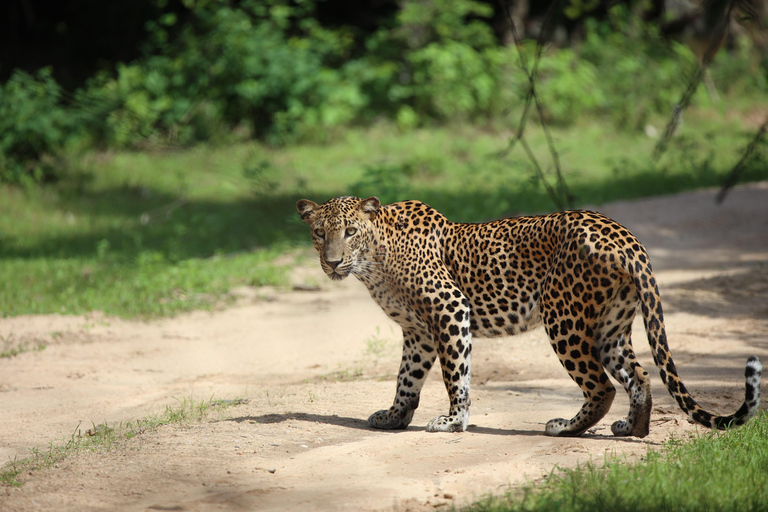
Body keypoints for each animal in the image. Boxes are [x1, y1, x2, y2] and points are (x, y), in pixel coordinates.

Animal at [296, 195, 762, 437]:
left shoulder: (450, 309)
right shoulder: (418, 332)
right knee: (640, 376)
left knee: (602, 385)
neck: (374, 262)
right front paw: (395, 417)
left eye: (350, 232)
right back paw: (633, 430)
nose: (332, 262)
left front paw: (453, 421)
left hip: (564, 318)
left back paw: (566, 427)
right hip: (609, 326)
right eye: (319, 233)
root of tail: (627, 239)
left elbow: (455, 375)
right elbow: (406, 379)